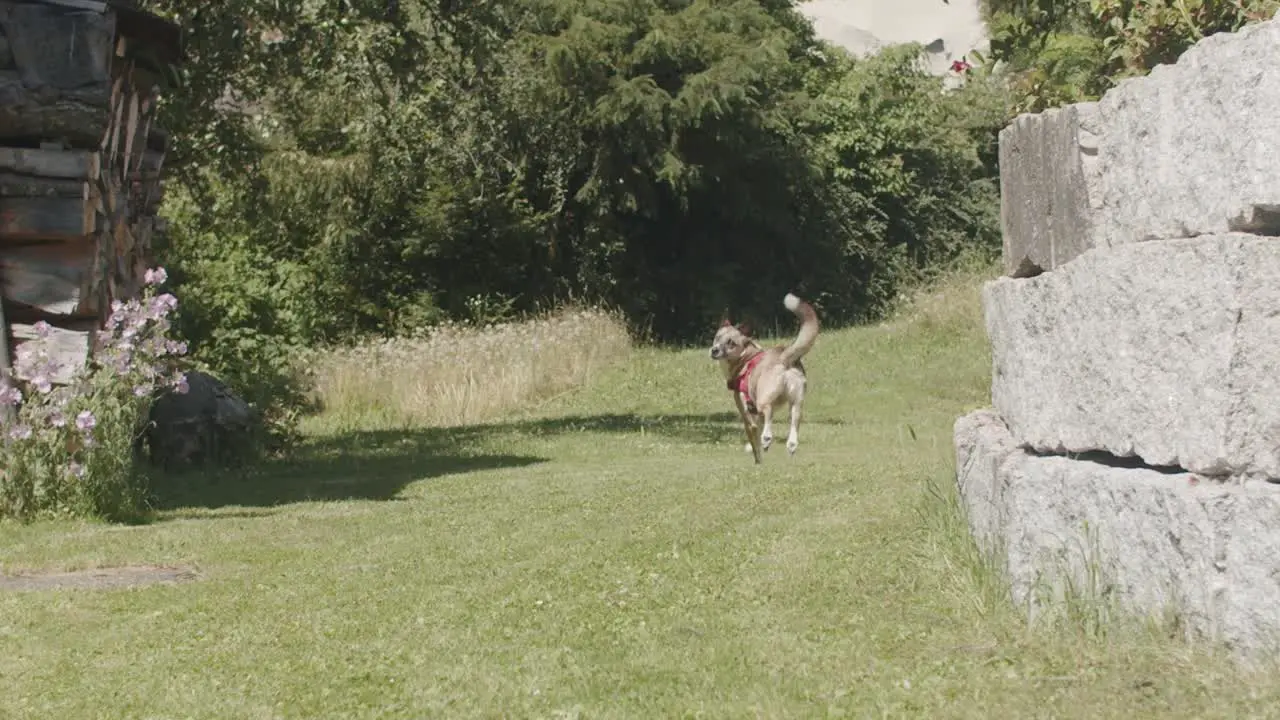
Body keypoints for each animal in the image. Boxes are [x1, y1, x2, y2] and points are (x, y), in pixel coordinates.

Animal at [711, 294, 819, 461]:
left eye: (731, 343)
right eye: (717, 337)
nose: (714, 350)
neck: (745, 357)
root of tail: (784, 357)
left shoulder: (746, 410)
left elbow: (753, 430)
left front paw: (756, 451)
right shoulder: (756, 413)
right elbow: (758, 428)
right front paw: (754, 447)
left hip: (764, 398)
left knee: (768, 411)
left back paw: (767, 438)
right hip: (796, 401)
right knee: (794, 420)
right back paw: (791, 443)